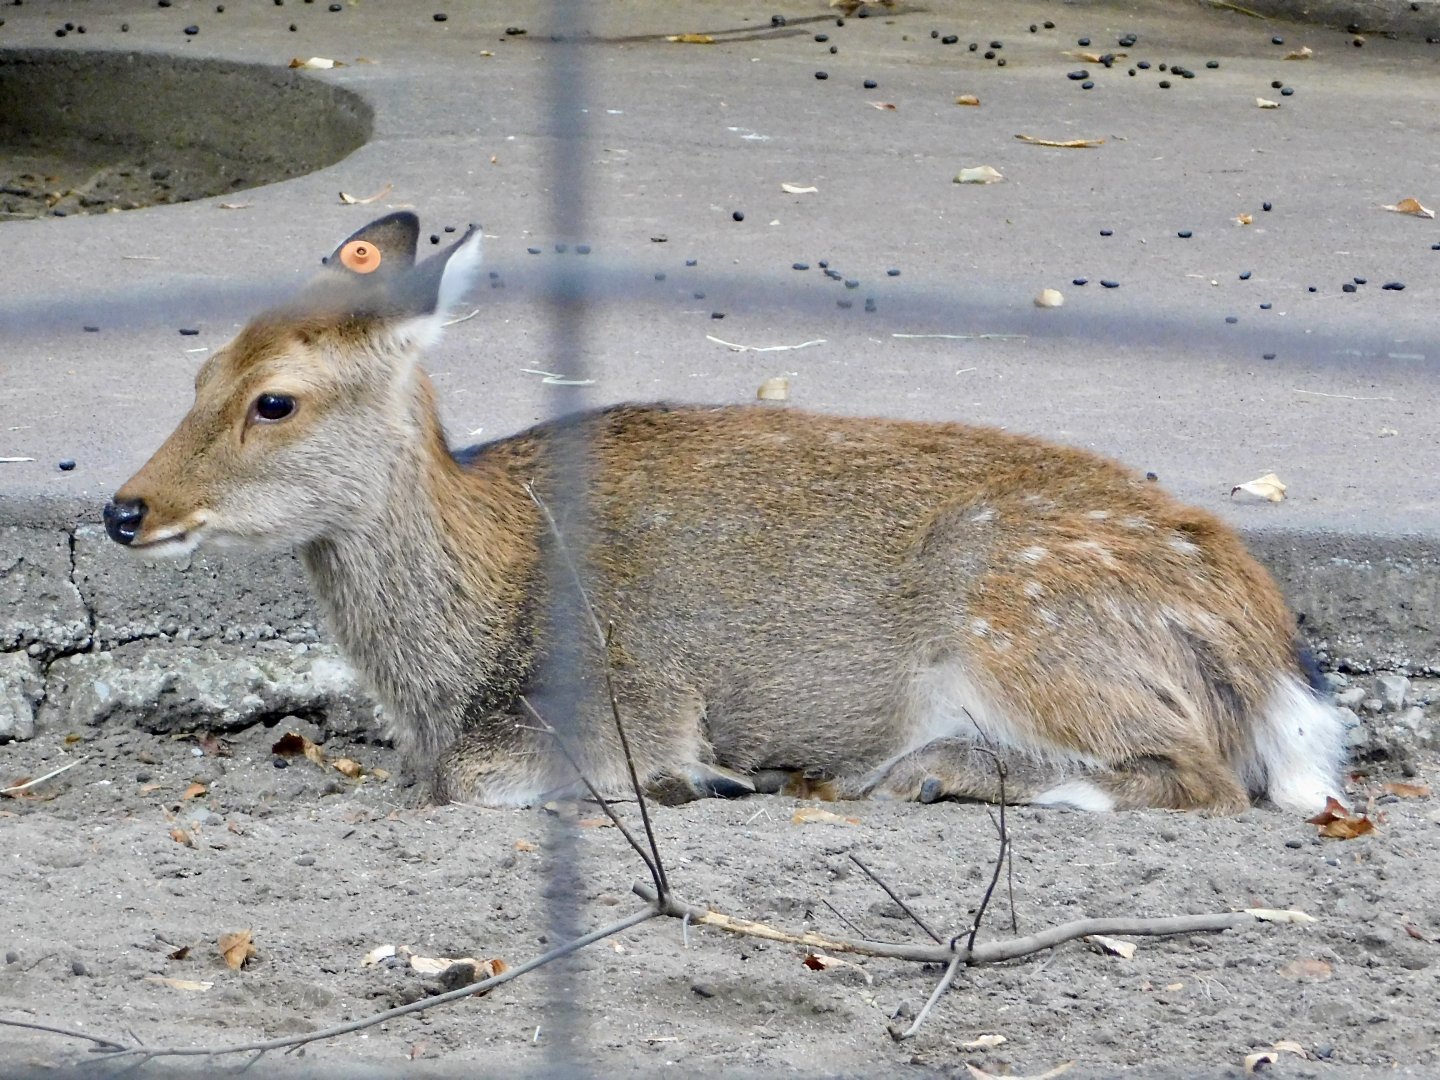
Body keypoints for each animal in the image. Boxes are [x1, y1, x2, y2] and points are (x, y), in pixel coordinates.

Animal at [102, 212, 1345, 814]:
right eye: (200, 370)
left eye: (276, 399)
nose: (124, 509)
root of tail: (1270, 648)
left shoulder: (635, 690)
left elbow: (486, 781)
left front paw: (700, 780)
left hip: (1028, 627)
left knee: (1200, 777)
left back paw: (920, 773)